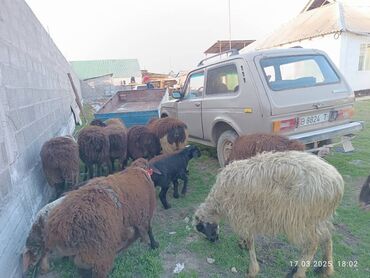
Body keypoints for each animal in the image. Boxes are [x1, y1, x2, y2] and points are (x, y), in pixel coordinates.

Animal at [194, 151, 344, 278]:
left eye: (200, 228)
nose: (213, 240)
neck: (218, 202)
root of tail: (337, 183)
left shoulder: (243, 215)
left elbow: (250, 241)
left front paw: (252, 269)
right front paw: (242, 244)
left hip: (303, 219)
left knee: (311, 246)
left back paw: (298, 273)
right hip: (320, 217)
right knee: (327, 238)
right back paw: (325, 269)